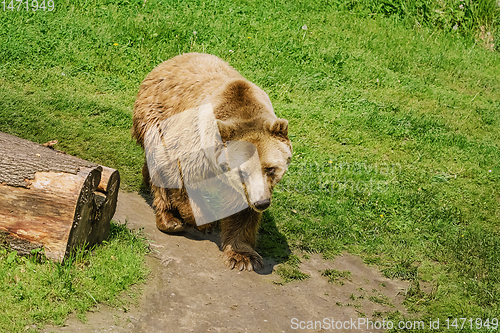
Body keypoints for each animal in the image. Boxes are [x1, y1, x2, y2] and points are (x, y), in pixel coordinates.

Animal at [131, 52, 292, 270]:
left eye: (271, 169)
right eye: (242, 171)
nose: (262, 203)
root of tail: (170, 60)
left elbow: (242, 211)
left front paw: (243, 256)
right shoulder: (194, 144)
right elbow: (178, 175)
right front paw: (200, 219)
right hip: (155, 117)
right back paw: (170, 220)